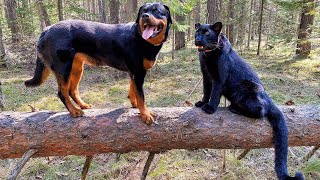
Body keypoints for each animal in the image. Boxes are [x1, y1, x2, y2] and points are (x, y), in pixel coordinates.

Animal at [24, 2, 171, 124]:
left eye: (156, 11)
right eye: (143, 12)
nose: (145, 16)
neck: (141, 38)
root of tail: (46, 30)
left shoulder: (134, 72)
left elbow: (133, 90)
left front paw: (134, 104)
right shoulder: (138, 72)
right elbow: (141, 96)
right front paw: (145, 114)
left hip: (77, 68)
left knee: (72, 90)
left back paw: (83, 105)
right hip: (63, 67)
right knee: (62, 92)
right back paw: (74, 111)